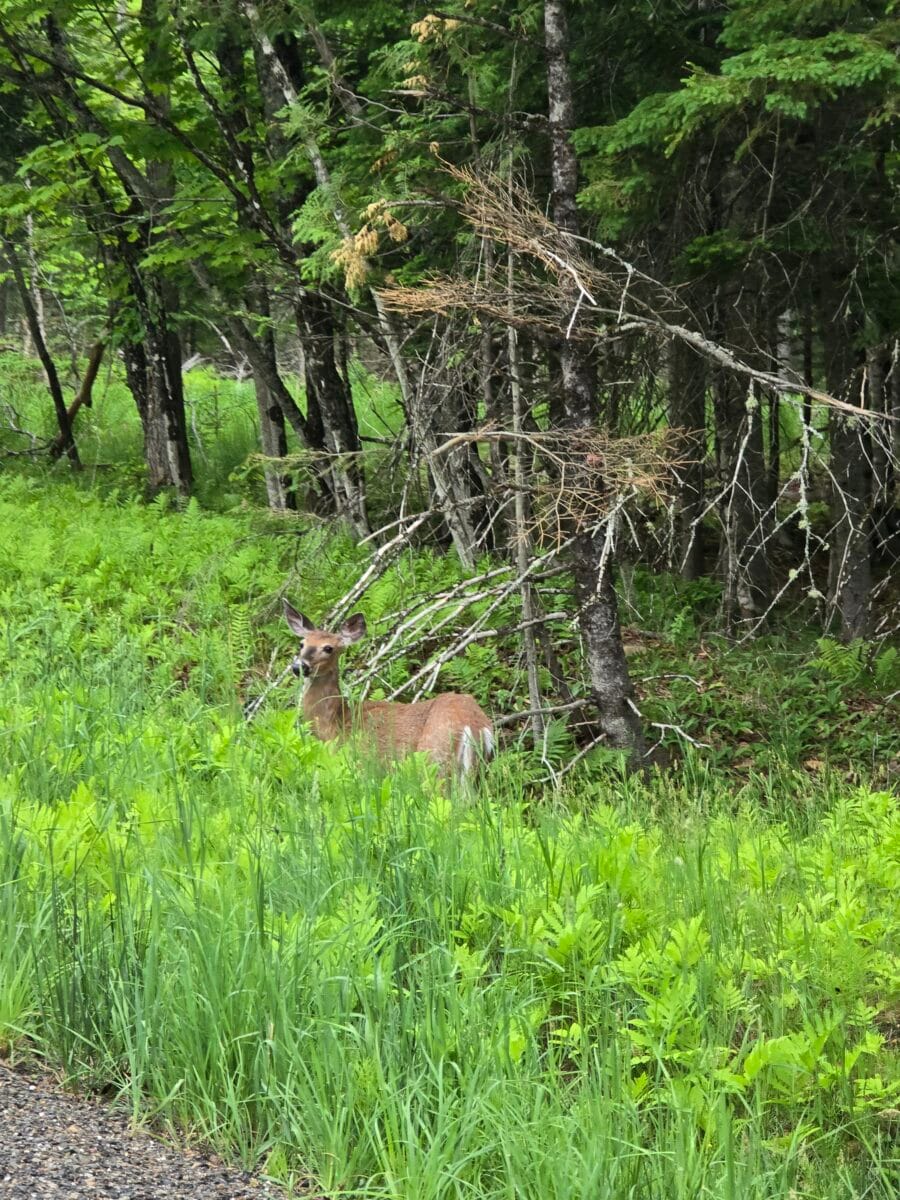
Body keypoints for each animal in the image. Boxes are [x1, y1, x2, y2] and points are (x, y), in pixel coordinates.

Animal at [284, 601, 494, 776]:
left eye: (329, 648)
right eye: (302, 644)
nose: (299, 666)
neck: (334, 723)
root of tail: (474, 726)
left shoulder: (361, 764)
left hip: (434, 759)